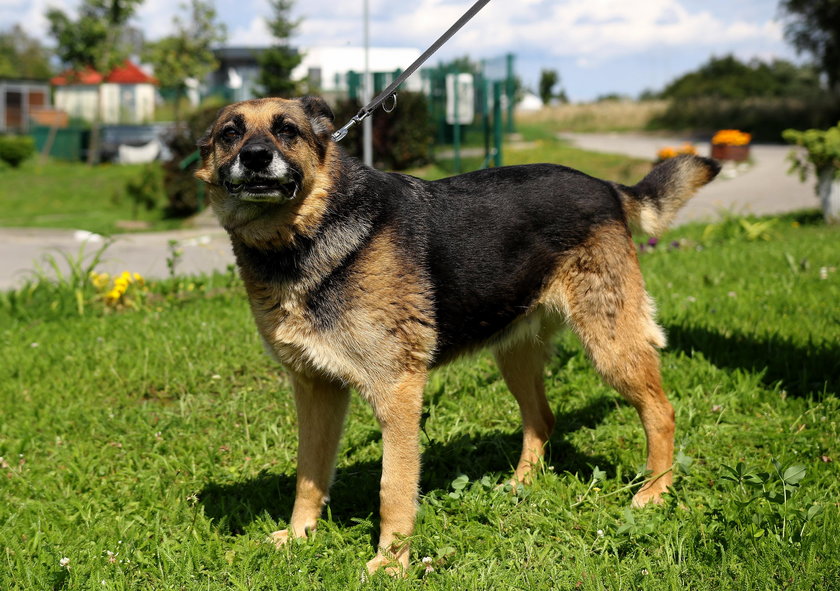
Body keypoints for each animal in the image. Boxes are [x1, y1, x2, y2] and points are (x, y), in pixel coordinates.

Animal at [197, 96, 720, 572]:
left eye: (287, 130)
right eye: (230, 133)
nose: (255, 156)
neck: (305, 235)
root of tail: (606, 187)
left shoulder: (397, 392)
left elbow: (393, 488)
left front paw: (391, 564)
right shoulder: (315, 389)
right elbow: (309, 473)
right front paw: (300, 535)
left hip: (610, 345)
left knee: (661, 411)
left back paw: (655, 489)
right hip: (516, 355)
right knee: (542, 419)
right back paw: (521, 485)